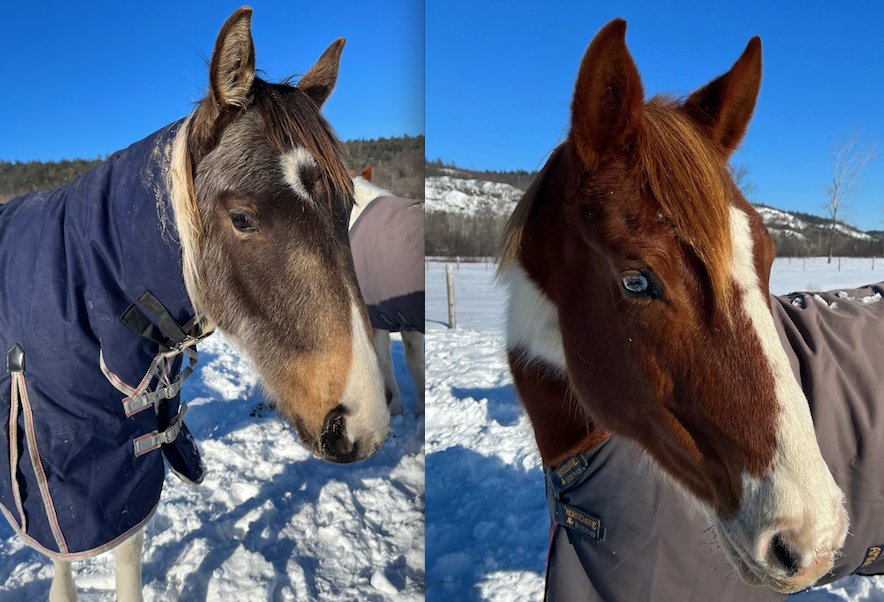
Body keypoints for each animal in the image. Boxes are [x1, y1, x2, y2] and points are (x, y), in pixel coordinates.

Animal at [0, 7, 389, 602]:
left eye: (347, 208)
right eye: (243, 219)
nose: (362, 422)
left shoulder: (123, 454)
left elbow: (124, 548)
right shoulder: (59, 465)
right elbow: (69, 554)